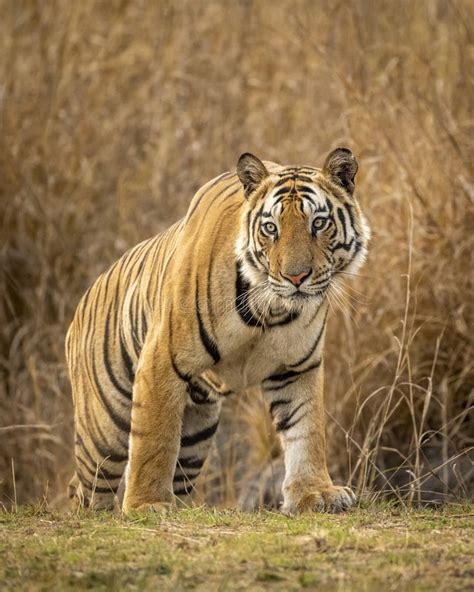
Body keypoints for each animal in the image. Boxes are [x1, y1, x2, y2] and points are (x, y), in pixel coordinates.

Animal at [65, 148, 370, 512]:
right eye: (270, 228)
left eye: (319, 223)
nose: (295, 277)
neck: (270, 309)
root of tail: (82, 302)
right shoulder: (161, 361)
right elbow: (153, 441)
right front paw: (145, 505)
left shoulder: (297, 368)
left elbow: (306, 429)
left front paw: (316, 493)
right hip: (104, 431)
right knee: (85, 488)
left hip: (195, 436)